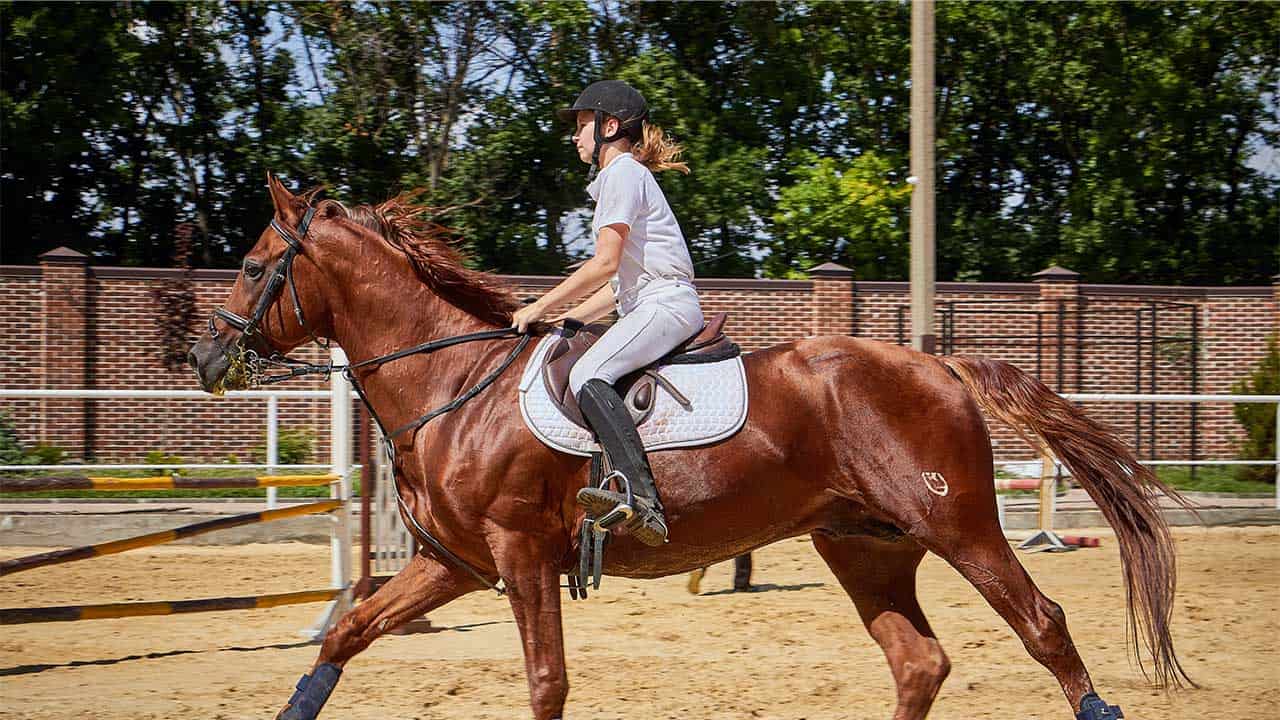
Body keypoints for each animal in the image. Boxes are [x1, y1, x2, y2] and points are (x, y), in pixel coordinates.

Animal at [188, 176, 1192, 720]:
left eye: (251, 265)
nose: (203, 357)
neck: (453, 384)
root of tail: (935, 362)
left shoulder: (520, 556)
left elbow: (546, 682)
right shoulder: (457, 564)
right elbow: (348, 631)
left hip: (960, 525)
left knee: (1043, 624)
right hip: (862, 546)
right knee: (919, 662)